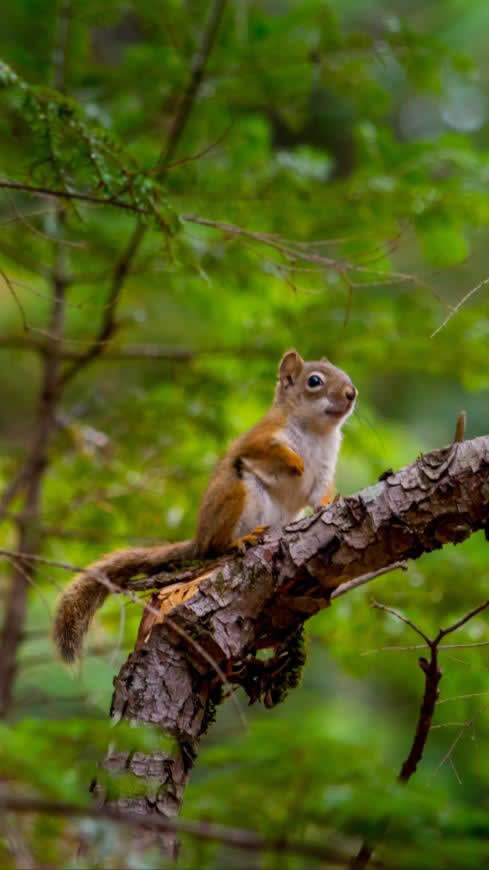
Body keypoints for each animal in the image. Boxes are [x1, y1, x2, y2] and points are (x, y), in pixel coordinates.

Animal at [53, 350, 354, 664]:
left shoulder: (323, 470)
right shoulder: (260, 437)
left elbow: (319, 494)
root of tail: (200, 536)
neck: (316, 432)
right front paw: (294, 462)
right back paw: (239, 541)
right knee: (217, 546)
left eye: (344, 374)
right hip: (236, 492)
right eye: (315, 381)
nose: (351, 393)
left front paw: (329, 505)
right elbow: (263, 449)